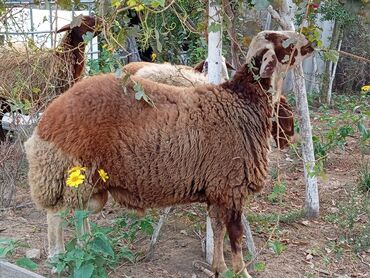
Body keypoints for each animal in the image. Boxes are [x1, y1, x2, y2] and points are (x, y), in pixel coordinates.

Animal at [24, 31, 314, 278]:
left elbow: (218, 229)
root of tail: (48, 117)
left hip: (89, 181)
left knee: (79, 212)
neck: (244, 102)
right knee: (56, 215)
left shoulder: (217, 188)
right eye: (285, 41)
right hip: (66, 170)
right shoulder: (231, 186)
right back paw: (58, 259)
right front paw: (241, 272)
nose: (310, 44)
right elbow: (235, 235)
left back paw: (85, 247)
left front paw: (219, 268)